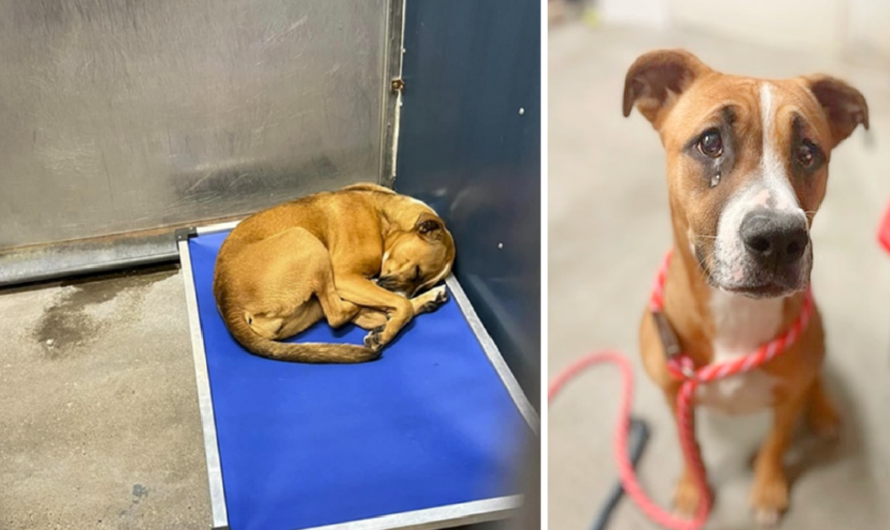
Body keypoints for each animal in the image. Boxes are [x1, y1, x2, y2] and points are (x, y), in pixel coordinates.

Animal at [212, 183, 454, 364]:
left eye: (422, 282)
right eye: (417, 272)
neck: (385, 219)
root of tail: (228, 303)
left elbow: (400, 305)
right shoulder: (344, 277)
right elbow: (402, 305)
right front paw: (385, 334)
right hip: (307, 241)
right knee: (339, 316)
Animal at [620, 50, 864, 524]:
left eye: (808, 152)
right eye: (710, 142)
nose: (780, 240)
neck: (734, 313)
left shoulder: (786, 403)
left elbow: (776, 443)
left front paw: (768, 489)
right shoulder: (676, 395)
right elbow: (688, 443)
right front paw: (693, 488)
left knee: (815, 379)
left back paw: (824, 410)